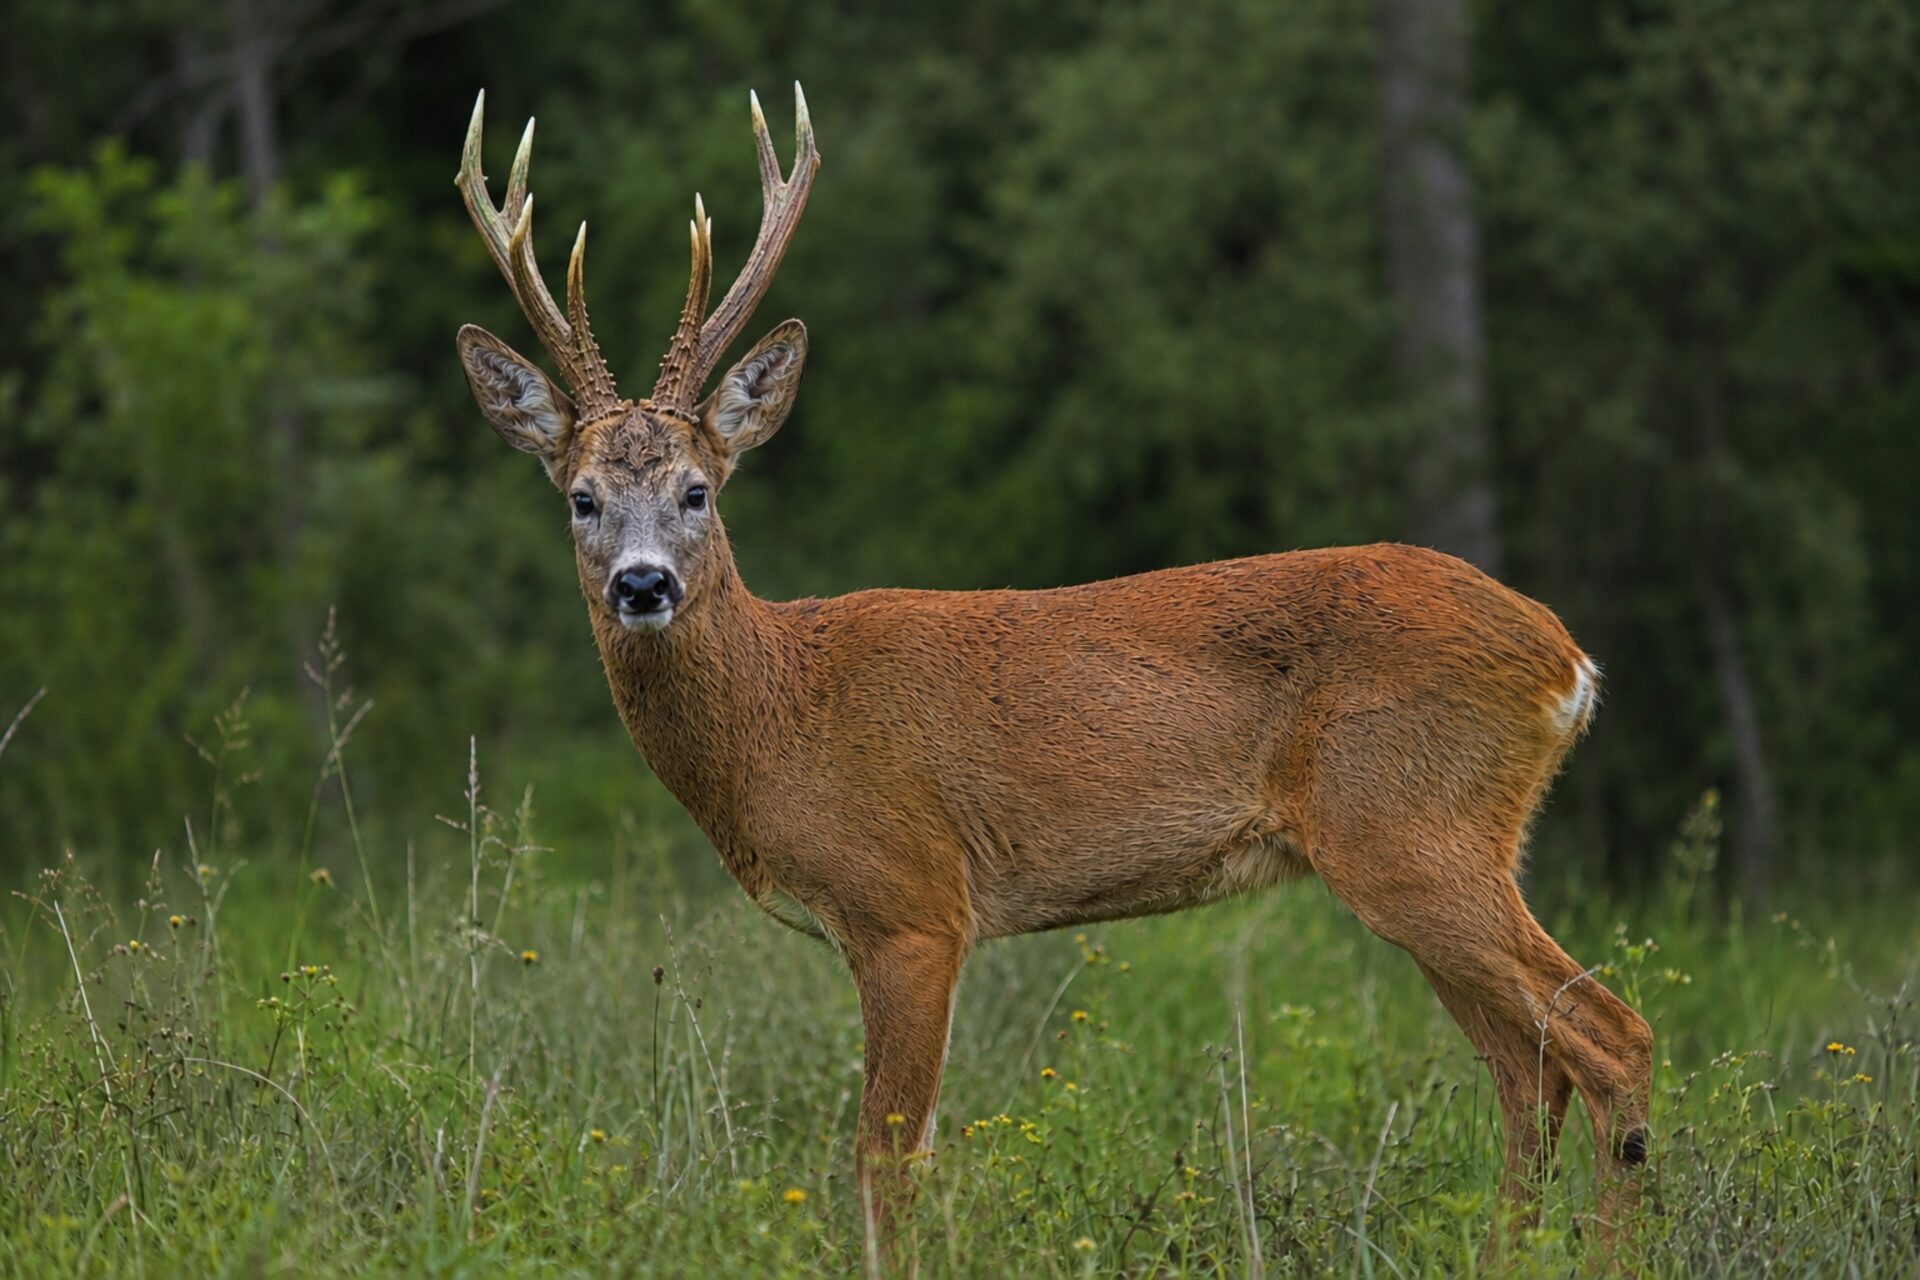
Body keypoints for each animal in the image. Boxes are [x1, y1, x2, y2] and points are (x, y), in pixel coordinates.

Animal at [451, 85, 1653, 1244]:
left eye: (698, 489)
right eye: (582, 497)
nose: (642, 585)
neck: (779, 713)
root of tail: (1566, 657)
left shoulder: (914, 905)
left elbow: (885, 1161)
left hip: (1412, 825)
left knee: (1611, 1037)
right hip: (1443, 840)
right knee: (1529, 1076)